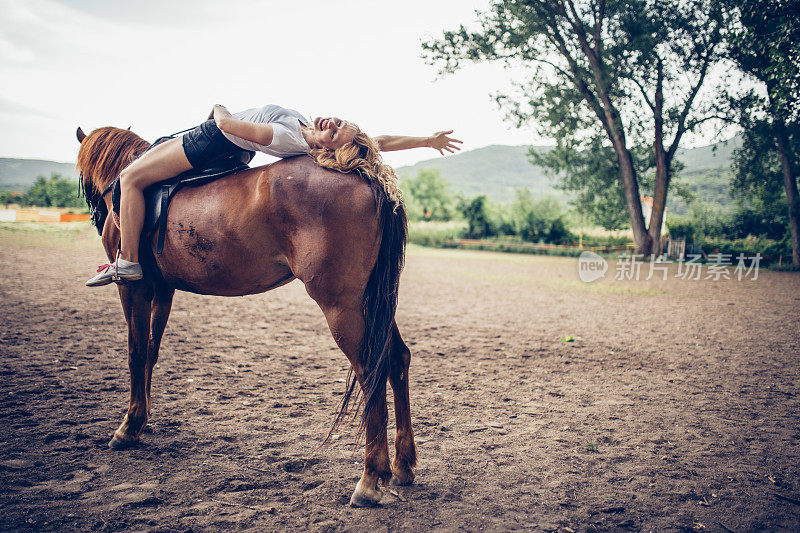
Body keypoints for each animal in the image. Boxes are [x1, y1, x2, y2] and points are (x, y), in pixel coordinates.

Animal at [76, 125, 418, 508]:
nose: (95, 216)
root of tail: (368, 176)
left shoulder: (134, 288)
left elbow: (135, 353)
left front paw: (128, 426)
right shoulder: (163, 290)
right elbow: (150, 352)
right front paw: (142, 419)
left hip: (341, 306)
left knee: (370, 369)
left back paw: (371, 478)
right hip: (372, 301)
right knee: (396, 359)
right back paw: (403, 466)